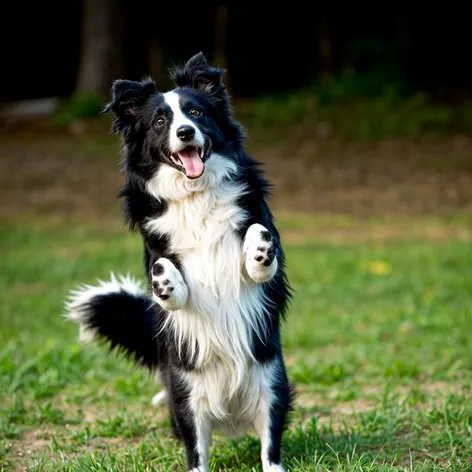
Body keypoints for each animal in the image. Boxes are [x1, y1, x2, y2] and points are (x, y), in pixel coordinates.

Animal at [67, 52, 292, 472]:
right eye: (159, 121)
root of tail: (229, 416)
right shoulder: (161, 257)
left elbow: (259, 246)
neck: (194, 195)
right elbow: (165, 276)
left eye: (196, 112)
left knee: (270, 446)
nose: (185, 132)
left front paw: (259, 248)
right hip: (187, 399)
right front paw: (164, 282)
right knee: (196, 451)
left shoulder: (264, 269)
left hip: (271, 384)